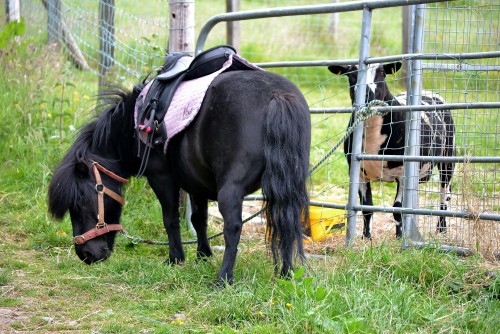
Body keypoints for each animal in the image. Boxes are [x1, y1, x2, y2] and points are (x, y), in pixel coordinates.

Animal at [48, 69, 310, 284]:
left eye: (81, 203)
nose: (86, 255)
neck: (134, 123)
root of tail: (278, 96)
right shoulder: (196, 184)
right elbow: (199, 220)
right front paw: (202, 256)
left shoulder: (161, 178)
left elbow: (171, 219)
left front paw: (176, 258)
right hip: (286, 186)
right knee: (286, 220)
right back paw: (286, 274)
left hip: (231, 190)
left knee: (233, 228)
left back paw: (223, 279)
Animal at [330, 62, 456, 239]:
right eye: (351, 74)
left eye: (383, 73)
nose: (368, 95)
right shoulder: (358, 172)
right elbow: (366, 208)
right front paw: (366, 238)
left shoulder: (402, 173)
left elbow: (398, 209)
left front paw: (400, 237)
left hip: (448, 155)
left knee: (445, 194)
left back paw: (441, 229)